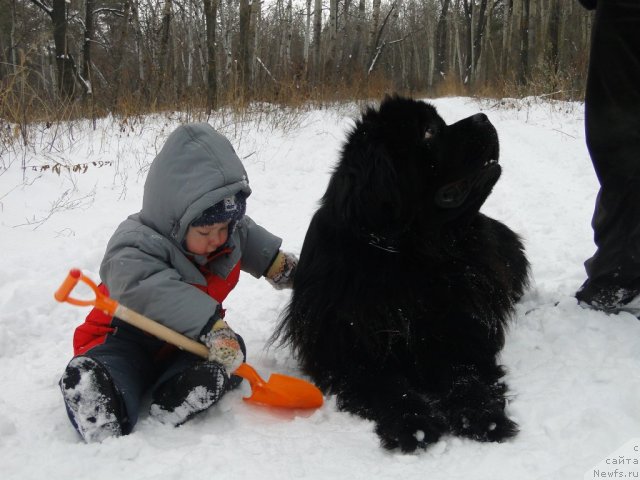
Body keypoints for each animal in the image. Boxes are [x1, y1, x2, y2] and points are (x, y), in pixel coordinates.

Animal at [276, 95, 528, 452]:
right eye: (428, 132)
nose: (483, 117)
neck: (411, 256)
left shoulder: (462, 331)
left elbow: (465, 374)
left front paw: (483, 416)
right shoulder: (350, 351)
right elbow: (388, 386)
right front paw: (414, 425)